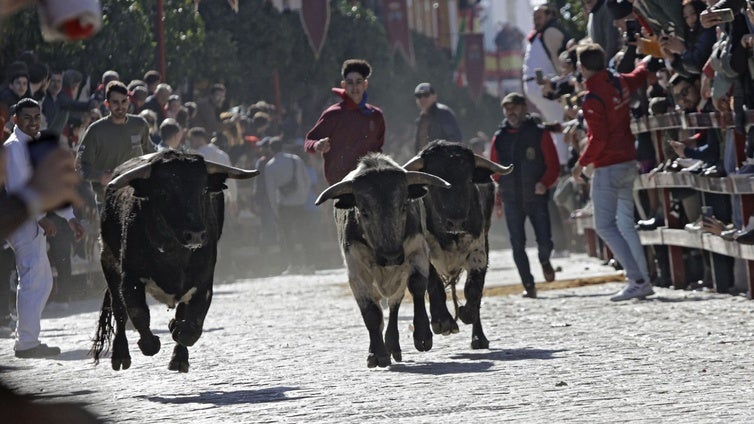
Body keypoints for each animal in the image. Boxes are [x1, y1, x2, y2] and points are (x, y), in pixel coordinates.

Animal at [91, 150, 258, 372]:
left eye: (203, 190)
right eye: (163, 191)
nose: (195, 235)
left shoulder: (203, 284)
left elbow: (191, 326)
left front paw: (176, 330)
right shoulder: (130, 279)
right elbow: (138, 313)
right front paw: (150, 343)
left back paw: (179, 357)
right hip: (108, 262)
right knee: (119, 309)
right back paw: (120, 355)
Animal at [406, 141, 512, 350]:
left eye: (469, 179)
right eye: (434, 183)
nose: (456, 221)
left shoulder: (479, 251)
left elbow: (474, 289)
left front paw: (467, 314)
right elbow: (434, 284)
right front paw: (443, 322)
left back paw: (479, 338)